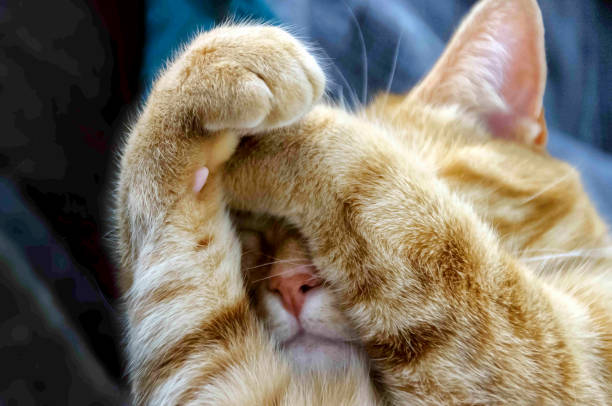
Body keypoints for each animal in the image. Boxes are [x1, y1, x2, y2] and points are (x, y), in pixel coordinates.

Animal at [115, 0, 612, 402]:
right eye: (252, 228)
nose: (290, 284)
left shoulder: (549, 360)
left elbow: (361, 171)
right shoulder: (216, 378)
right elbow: (173, 284)